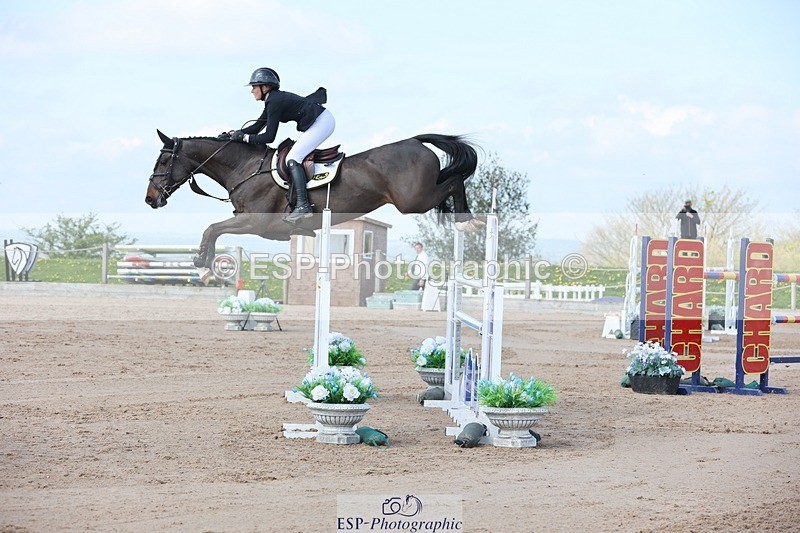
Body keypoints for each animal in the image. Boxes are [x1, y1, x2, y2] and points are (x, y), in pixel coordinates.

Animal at [145, 130, 482, 278]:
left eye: (162, 161)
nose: (150, 199)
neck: (246, 167)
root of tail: (416, 141)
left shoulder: (254, 222)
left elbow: (213, 228)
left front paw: (202, 262)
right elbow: (215, 227)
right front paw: (205, 263)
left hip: (413, 200)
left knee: (454, 180)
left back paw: (467, 219)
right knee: (451, 179)